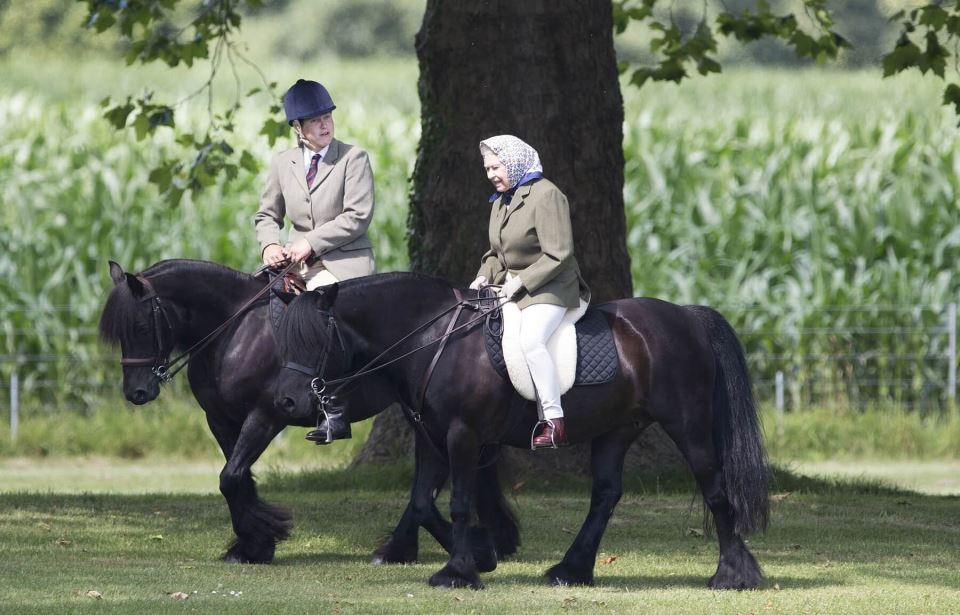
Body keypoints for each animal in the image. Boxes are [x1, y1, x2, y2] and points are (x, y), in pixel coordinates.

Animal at [97, 260, 516, 568]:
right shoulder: (220, 419)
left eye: (140, 326)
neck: (236, 330)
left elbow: (230, 478)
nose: (136, 393)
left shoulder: (266, 414)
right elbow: (238, 478)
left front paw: (262, 536)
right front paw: (253, 544)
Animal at [274, 274, 768, 592]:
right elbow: (421, 502)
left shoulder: (462, 435)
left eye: (314, 339)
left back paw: (733, 576)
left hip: (689, 428)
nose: (289, 403)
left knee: (716, 490)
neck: (434, 339)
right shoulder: (431, 437)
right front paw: (480, 553)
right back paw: (571, 569)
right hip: (616, 430)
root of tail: (687, 317)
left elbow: (457, 502)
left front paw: (458, 571)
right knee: (606, 495)